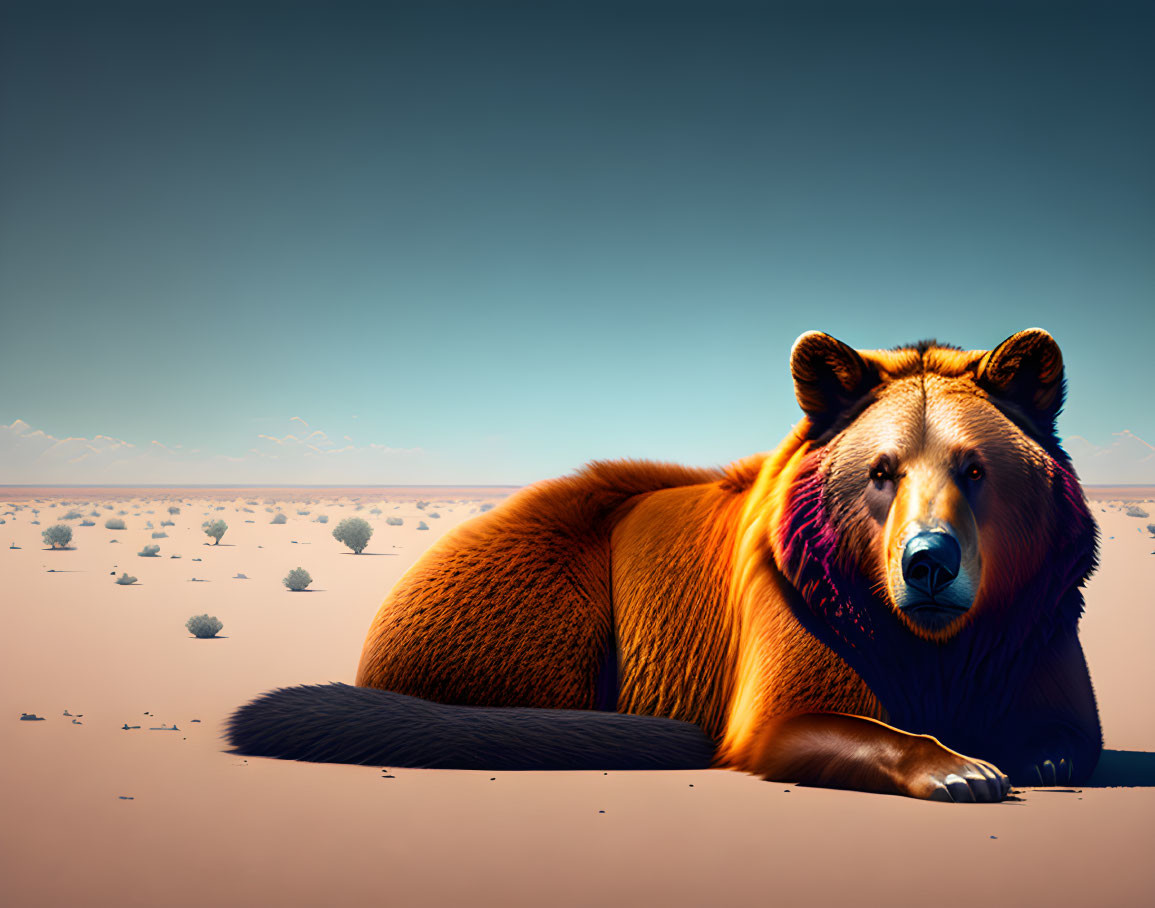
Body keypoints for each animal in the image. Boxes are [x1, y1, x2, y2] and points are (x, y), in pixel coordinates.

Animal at [227, 325, 1099, 799]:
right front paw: (963, 770)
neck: (934, 646)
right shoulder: (798, 611)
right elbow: (796, 721)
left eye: (973, 468)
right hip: (541, 596)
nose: (927, 562)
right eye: (881, 471)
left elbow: (1066, 732)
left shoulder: (1034, 626)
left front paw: (1024, 751)